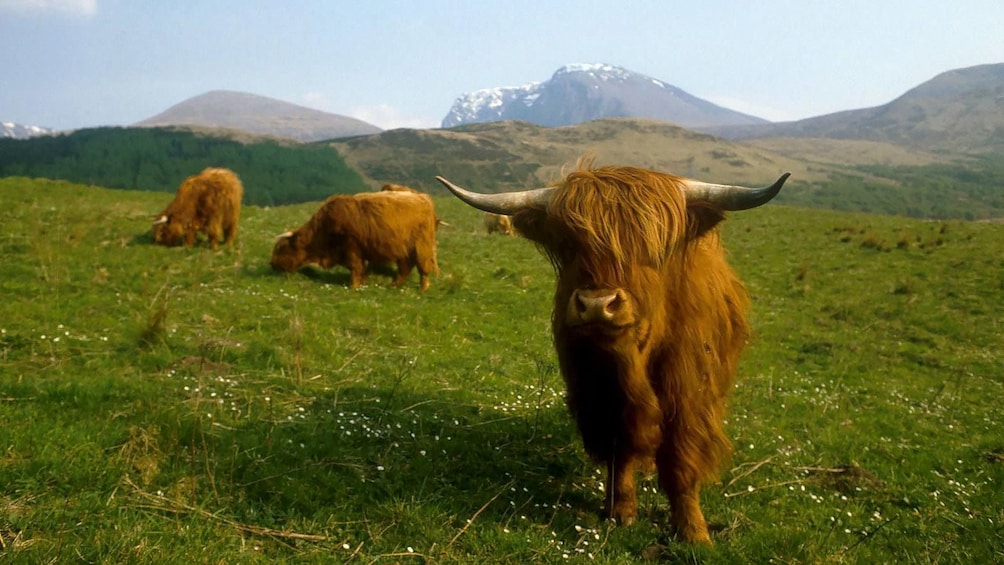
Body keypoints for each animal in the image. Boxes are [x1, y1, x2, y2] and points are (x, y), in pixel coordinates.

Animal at [271, 189, 439, 291]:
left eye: (282, 248)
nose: (272, 264)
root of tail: (423, 197)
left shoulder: (351, 248)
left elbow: (355, 268)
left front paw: (353, 286)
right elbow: (361, 269)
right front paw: (361, 283)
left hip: (421, 245)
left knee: (423, 267)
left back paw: (422, 288)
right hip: (403, 249)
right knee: (406, 267)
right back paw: (394, 285)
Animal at [435, 162, 787, 541]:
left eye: (650, 245)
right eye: (571, 244)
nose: (596, 305)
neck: (631, 362)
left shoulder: (689, 393)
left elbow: (681, 460)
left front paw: (693, 531)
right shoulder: (598, 393)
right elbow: (619, 451)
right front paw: (620, 510)